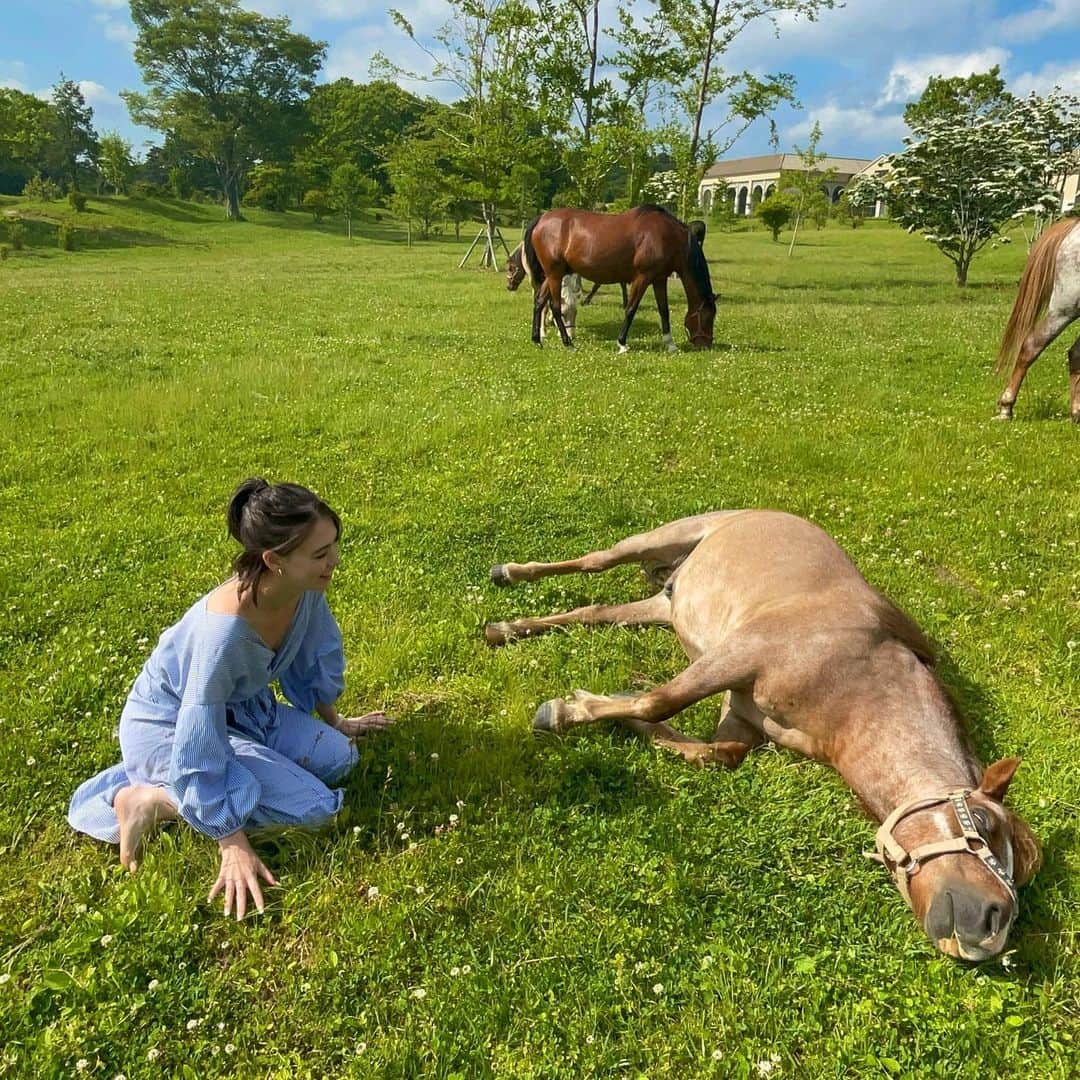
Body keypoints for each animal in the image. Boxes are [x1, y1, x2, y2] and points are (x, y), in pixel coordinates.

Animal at [484, 509, 1041, 960]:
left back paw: (505, 629)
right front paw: (564, 711)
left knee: (591, 614)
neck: (861, 666)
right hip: (654, 541)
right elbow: (662, 699)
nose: (992, 927)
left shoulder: (741, 712)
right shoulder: (737, 655)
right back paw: (509, 573)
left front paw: (618, 713)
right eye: (985, 825)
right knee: (593, 562)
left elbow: (715, 752)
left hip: (660, 608)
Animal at [522, 205, 716, 352]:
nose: (706, 345)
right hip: (555, 275)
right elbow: (630, 309)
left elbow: (664, 311)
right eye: (708, 317)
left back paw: (537, 340)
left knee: (539, 302)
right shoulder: (642, 278)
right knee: (555, 306)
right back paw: (568, 344)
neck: (667, 236)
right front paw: (622, 344)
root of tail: (542, 218)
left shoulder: (659, 279)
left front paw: (670, 345)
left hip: (551, 275)